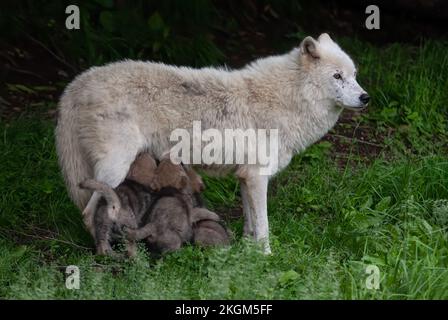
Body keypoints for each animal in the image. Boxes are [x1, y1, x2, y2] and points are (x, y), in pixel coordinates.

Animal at [55, 32, 368, 252]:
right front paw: (267, 258)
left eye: (354, 75)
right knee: (88, 212)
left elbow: (250, 224)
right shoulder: (258, 177)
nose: (366, 97)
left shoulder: (245, 177)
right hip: (114, 169)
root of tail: (76, 84)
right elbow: (264, 227)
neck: (287, 99)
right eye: (337, 76)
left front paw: (246, 250)